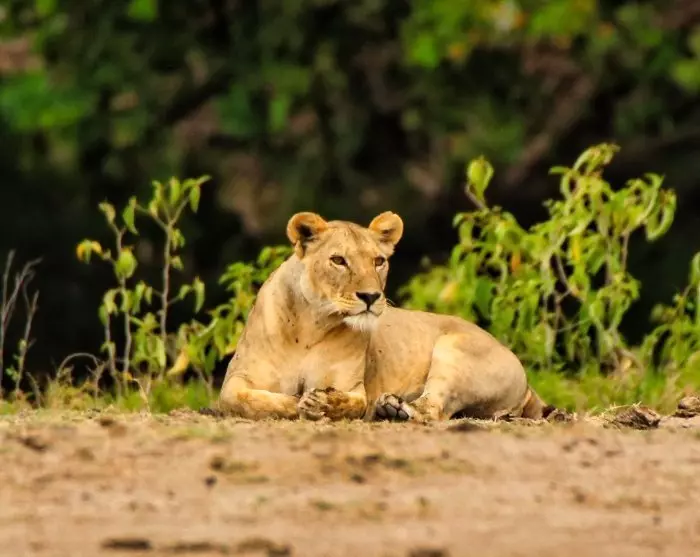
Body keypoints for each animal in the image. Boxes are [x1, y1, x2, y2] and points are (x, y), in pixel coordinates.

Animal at [217, 211, 550, 422]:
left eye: (378, 261)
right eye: (338, 260)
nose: (370, 297)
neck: (311, 326)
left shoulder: (353, 386)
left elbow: (354, 402)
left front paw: (320, 401)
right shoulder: (237, 379)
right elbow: (246, 400)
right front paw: (301, 401)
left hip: (453, 350)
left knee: (434, 410)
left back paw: (395, 408)